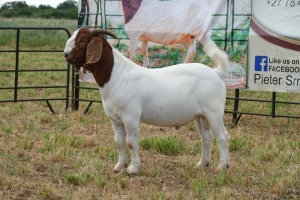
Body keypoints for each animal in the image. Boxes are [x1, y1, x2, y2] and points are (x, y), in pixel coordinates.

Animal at [64, 27, 231, 174]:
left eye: (83, 40)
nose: (65, 54)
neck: (117, 76)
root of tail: (217, 73)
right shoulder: (115, 119)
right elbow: (119, 142)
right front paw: (119, 166)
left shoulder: (130, 117)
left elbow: (131, 142)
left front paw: (133, 168)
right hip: (200, 115)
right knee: (206, 138)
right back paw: (202, 164)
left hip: (214, 112)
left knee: (222, 136)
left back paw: (222, 166)